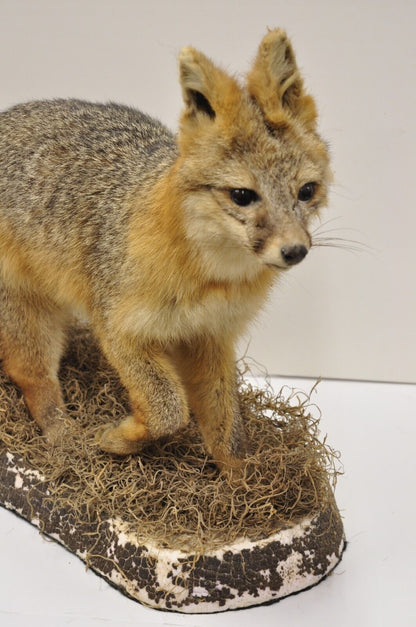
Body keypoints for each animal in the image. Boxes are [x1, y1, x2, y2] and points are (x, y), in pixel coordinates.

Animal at [0, 29, 332, 472]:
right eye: (243, 196)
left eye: (307, 192)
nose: (294, 250)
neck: (212, 279)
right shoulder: (119, 329)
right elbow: (168, 408)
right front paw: (118, 439)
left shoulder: (211, 336)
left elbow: (226, 422)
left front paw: (239, 480)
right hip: (29, 318)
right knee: (31, 377)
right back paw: (64, 439)